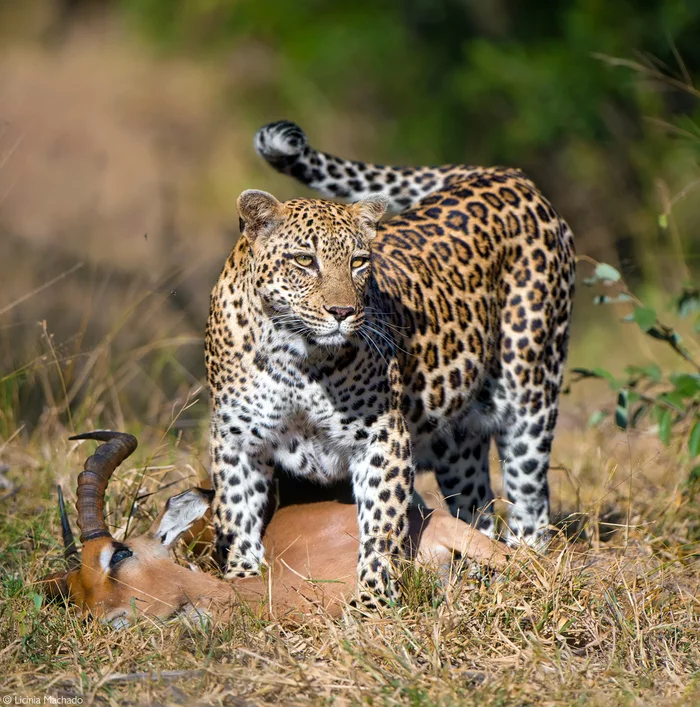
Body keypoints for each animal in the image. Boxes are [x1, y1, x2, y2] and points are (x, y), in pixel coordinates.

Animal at [205, 119, 576, 604]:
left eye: (359, 262)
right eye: (304, 260)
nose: (342, 312)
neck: (296, 355)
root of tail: (502, 172)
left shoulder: (382, 437)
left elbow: (382, 525)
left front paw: (374, 601)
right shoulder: (236, 441)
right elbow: (237, 516)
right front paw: (241, 581)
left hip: (531, 391)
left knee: (530, 500)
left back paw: (526, 567)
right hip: (456, 439)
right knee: (476, 506)